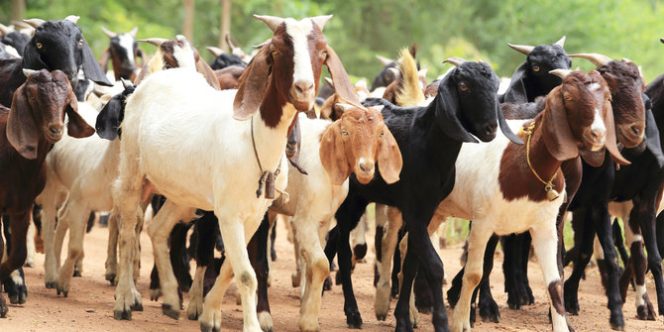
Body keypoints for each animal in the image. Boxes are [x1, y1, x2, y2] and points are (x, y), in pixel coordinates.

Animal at [112, 16, 352, 332]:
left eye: (323, 52)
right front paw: (250, 324)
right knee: (129, 231)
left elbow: (231, 267)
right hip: (132, 171)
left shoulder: (254, 215)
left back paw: (171, 299)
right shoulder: (227, 214)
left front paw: (209, 313)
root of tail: (149, 83)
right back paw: (125, 300)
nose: (304, 89)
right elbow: (247, 274)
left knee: (158, 229)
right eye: (277, 50)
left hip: (182, 193)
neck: (254, 137)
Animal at [324, 58, 520, 330]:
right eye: (463, 85)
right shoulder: (414, 209)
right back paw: (352, 313)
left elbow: (412, 263)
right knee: (343, 249)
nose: (490, 128)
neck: (429, 144)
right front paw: (440, 321)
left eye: (494, 85)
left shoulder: (428, 209)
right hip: (351, 199)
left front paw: (403, 319)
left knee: (334, 237)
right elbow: (434, 266)